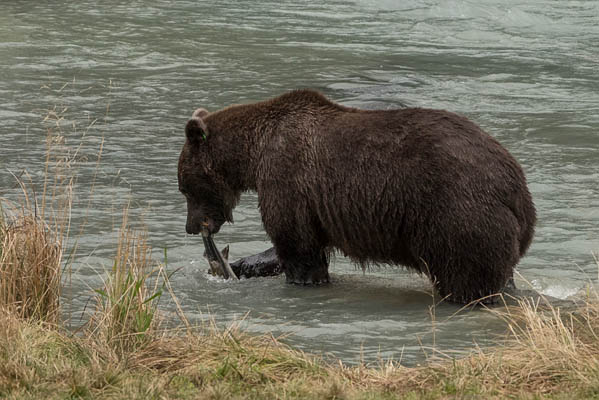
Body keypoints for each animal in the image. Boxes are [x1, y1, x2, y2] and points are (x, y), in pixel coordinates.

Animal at [177, 90, 536, 304]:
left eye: (184, 187)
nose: (191, 227)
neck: (253, 154)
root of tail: (518, 188)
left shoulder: (287, 177)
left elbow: (296, 243)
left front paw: (302, 279)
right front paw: (246, 264)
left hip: (456, 213)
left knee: (465, 277)